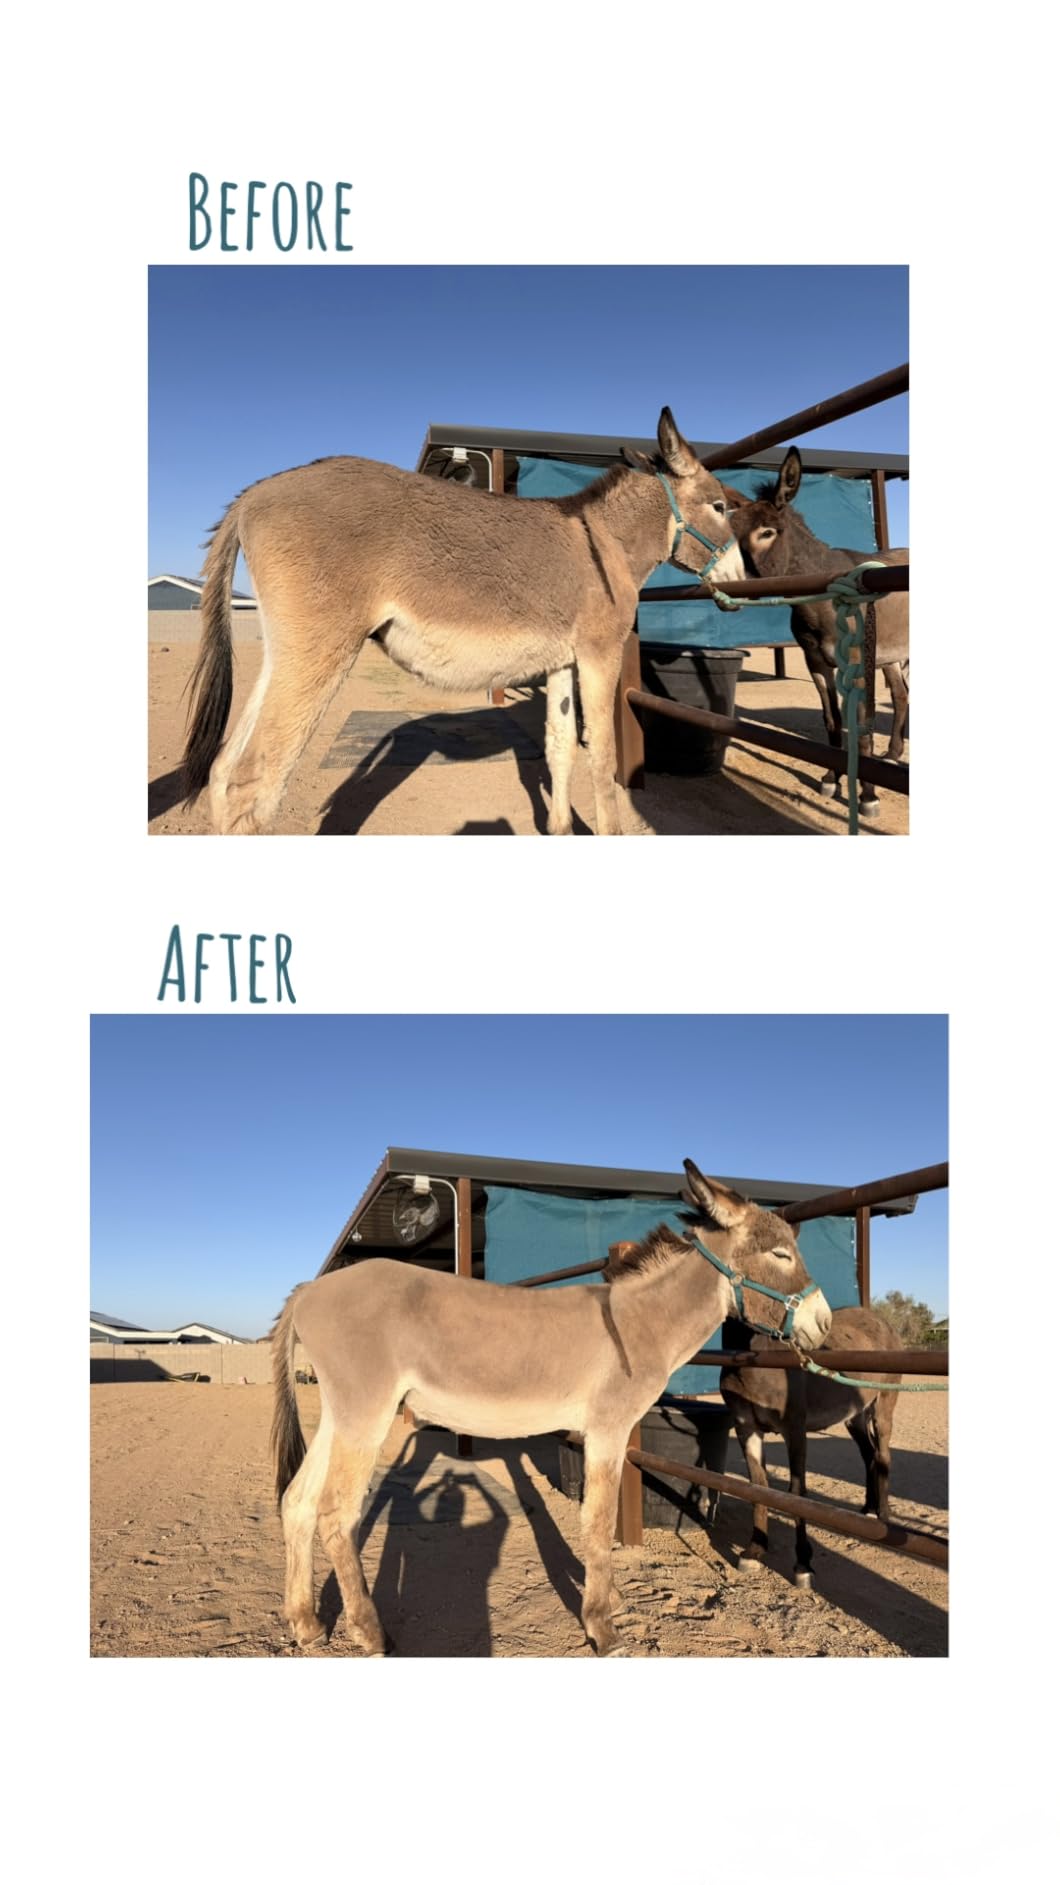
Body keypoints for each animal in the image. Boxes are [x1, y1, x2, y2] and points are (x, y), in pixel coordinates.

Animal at [182, 410, 744, 837]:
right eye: (720, 506)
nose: (742, 582)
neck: (603, 544)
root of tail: (254, 493)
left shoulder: (563, 662)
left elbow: (559, 747)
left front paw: (561, 830)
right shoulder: (599, 656)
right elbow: (602, 757)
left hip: (285, 652)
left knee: (223, 769)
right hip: (321, 648)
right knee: (254, 781)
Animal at [270, 1162, 832, 1657]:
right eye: (781, 1254)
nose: (825, 1324)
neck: (637, 1323)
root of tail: (310, 1289)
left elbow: (597, 1520)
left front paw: (609, 1600)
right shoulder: (608, 1429)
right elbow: (598, 1520)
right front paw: (602, 1627)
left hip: (341, 1414)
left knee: (297, 1501)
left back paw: (306, 1625)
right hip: (367, 1412)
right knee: (336, 1515)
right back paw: (370, 1633)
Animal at [719, 1305, 901, 1587]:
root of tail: (882, 1321)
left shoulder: (794, 1431)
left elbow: (796, 1493)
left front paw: (803, 1565)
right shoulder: (746, 1428)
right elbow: (758, 1487)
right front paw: (755, 1550)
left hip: (883, 1406)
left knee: (882, 1456)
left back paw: (882, 1515)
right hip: (855, 1417)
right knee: (868, 1454)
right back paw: (868, 1511)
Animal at [723, 448, 908, 815]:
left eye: (768, 532)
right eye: (731, 530)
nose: (727, 583)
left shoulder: (858, 665)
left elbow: (862, 726)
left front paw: (868, 796)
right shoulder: (816, 663)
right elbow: (832, 722)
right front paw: (830, 779)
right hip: (892, 657)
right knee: (901, 695)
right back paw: (894, 754)